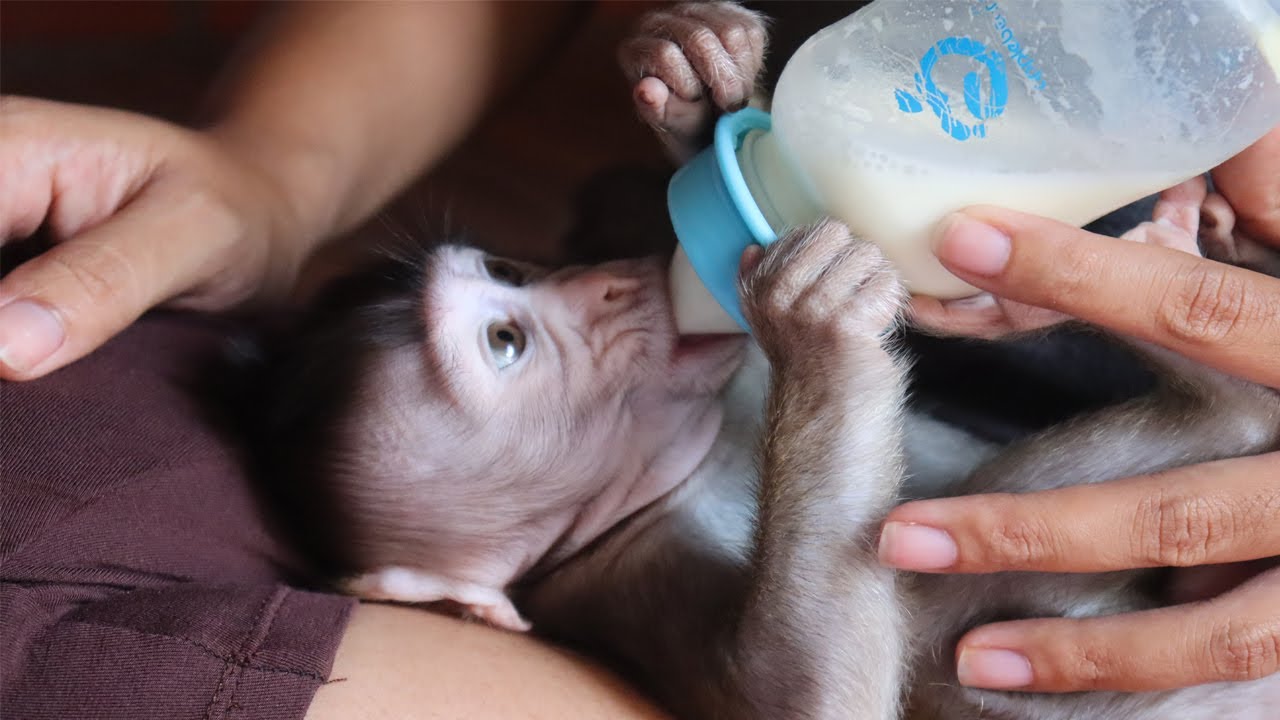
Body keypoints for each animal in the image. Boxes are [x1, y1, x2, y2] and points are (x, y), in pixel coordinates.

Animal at [234, 3, 1280, 719]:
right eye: (506, 342)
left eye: (511, 272)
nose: (602, 283)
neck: (692, 450)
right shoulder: (622, 579)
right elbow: (809, 699)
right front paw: (815, 322)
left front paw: (697, 85)